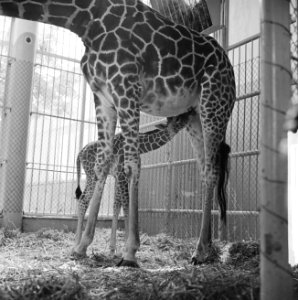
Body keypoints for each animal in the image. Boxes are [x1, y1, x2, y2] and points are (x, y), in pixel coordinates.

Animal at [73, 109, 192, 254]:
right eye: (177, 119)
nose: (188, 115)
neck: (139, 147)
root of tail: (80, 153)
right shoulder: (121, 174)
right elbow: (126, 205)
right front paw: (126, 245)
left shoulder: (125, 176)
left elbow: (117, 206)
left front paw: (113, 248)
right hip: (92, 175)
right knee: (83, 200)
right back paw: (77, 244)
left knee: (84, 199)